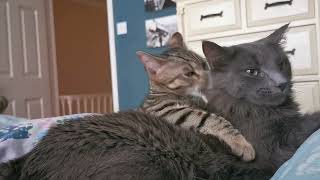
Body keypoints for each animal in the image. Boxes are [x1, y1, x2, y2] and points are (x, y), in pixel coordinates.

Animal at [138, 32, 255, 162]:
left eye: (204, 64)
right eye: (189, 74)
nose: (210, 78)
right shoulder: (169, 111)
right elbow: (214, 119)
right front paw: (241, 143)